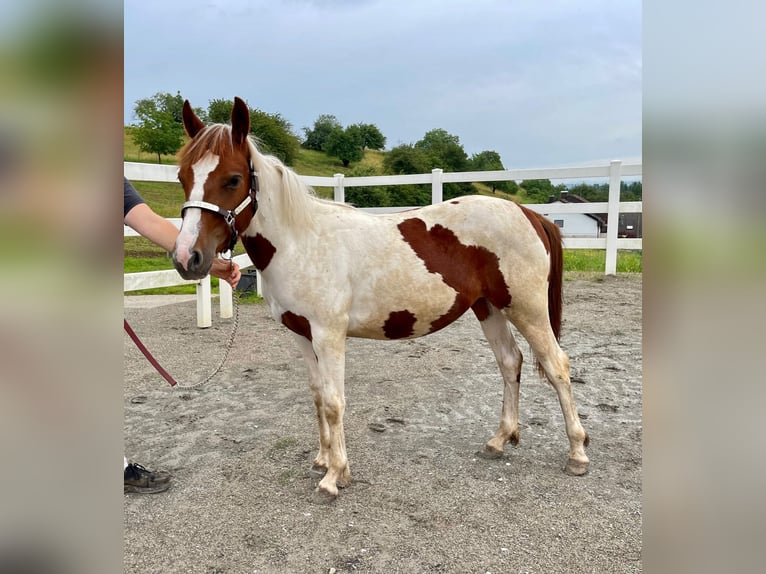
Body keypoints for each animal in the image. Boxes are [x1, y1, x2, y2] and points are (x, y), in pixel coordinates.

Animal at [174, 99, 592, 504]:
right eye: (183, 177)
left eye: (233, 179)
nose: (186, 258)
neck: (302, 242)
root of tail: (528, 213)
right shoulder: (301, 335)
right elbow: (317, 396)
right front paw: (323, 459)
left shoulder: (329, 335)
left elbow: (334, 401)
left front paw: (334, 477)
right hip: (488, 308)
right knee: (510, 362)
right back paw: (499, 440)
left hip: (527, 309)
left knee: (557, 366)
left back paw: (577, 453)